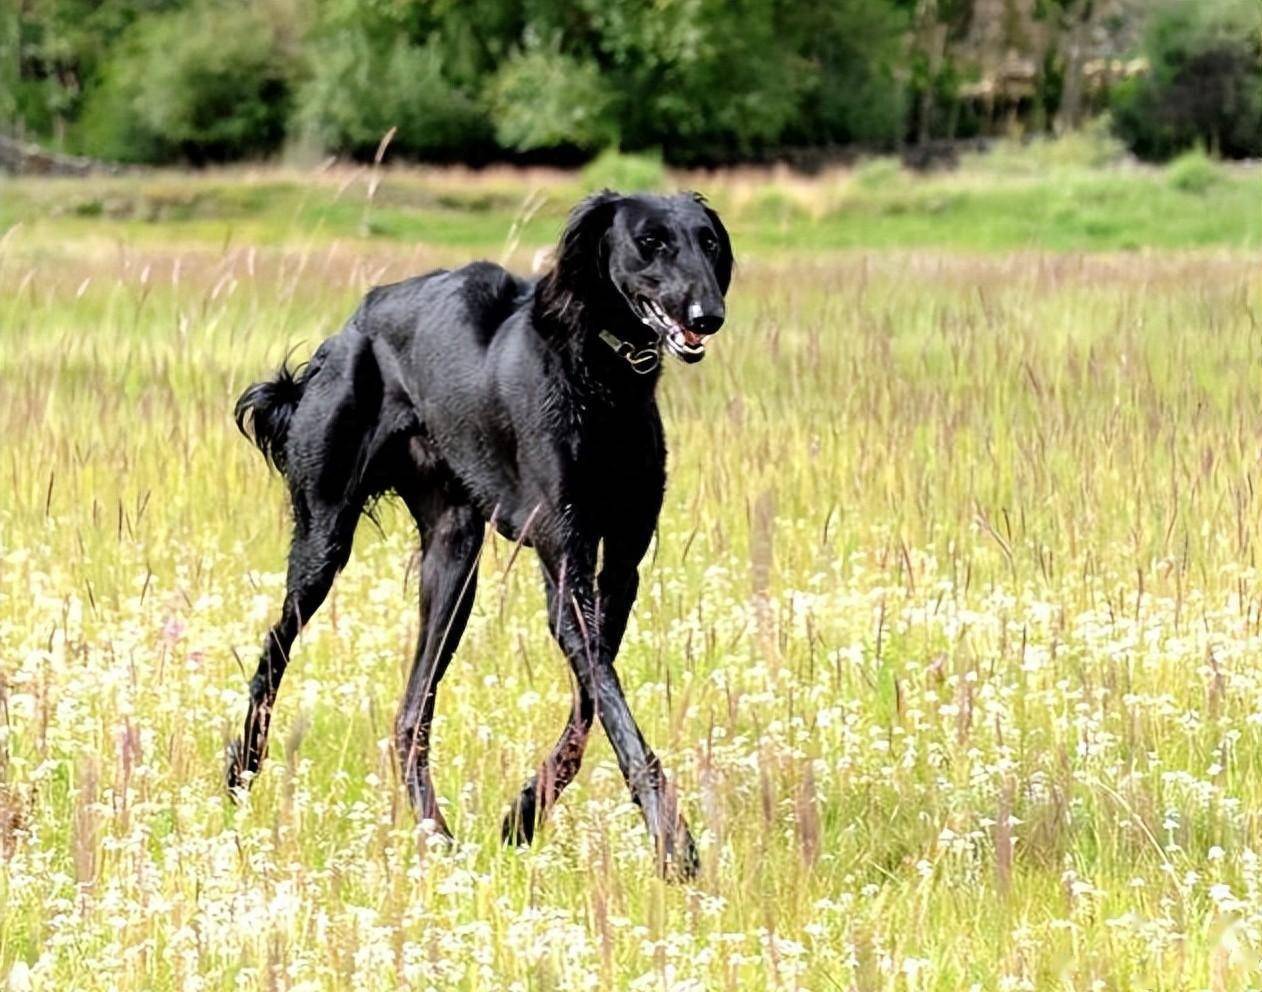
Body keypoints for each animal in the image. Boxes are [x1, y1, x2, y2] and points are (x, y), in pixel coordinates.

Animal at [229, 189, 731, 878]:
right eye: (650, 243)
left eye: (708, 241)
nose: (709, 315)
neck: (600, 374)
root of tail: (352, 325)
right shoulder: (567, 565)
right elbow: (612, 708)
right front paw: (675, 846)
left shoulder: (619, 567)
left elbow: (590, 704)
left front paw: (523, 813)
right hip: (324, 539)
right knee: (275, 649)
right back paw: (242, 770)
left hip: (453, 559)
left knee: (410, 715)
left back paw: (437, 838)